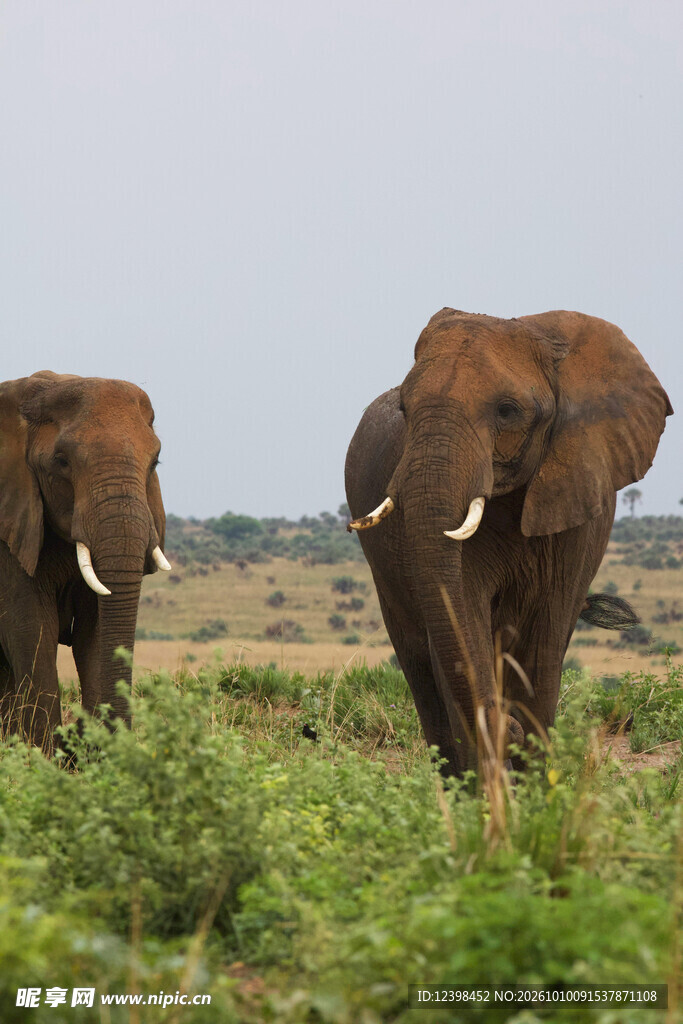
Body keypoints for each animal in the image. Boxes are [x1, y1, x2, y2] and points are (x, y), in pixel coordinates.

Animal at [0, 371, 171, 754]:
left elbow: (96, 630)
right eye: (61, 461)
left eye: (156, 462)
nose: (78, 734)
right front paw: (42, 759)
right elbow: (32, 626)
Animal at [345, 309, 672, 776]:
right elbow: (462, 622)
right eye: (405, 409)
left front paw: (533, 780)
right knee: (420, 663)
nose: (509, 728)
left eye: (507, 410)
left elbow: (543, 641)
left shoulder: (576, 515)